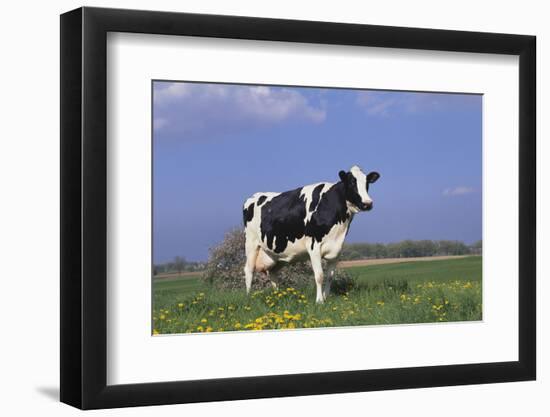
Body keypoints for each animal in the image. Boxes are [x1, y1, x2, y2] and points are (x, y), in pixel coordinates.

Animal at [244, 165, 382, 302]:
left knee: (272, 273)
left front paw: (326, 298)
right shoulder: (314, 245)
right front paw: (319, 301)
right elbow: (319, 275)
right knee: (249, 269)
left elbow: (330, 276)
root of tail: (254, 196)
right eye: (352, 182)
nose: (367, 203)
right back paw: (249, 297)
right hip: (251, 243)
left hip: (276, 254)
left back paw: (277, 295)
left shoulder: (337, 249)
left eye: (367, 183)